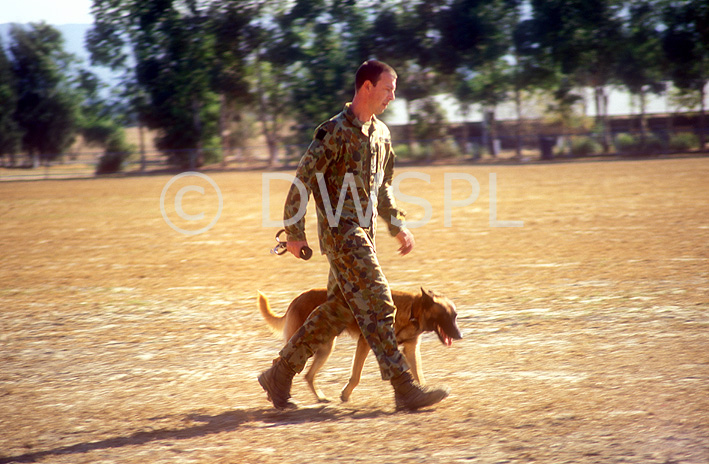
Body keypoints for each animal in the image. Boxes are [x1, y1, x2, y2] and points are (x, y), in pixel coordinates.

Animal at [258, 286, 462, 402]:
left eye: (455, 316)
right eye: (446, 316)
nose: (460, 336)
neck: (412, 309)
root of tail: (295, 300)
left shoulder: (411, 349)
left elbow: (418, 374)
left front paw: (423, 392)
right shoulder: (366, 343)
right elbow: (356, 375)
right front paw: (345, 395)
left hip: (324, 349)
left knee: (307, 375)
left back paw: (319, 397)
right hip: (310, 344)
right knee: (279, 360)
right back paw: (275, 394)